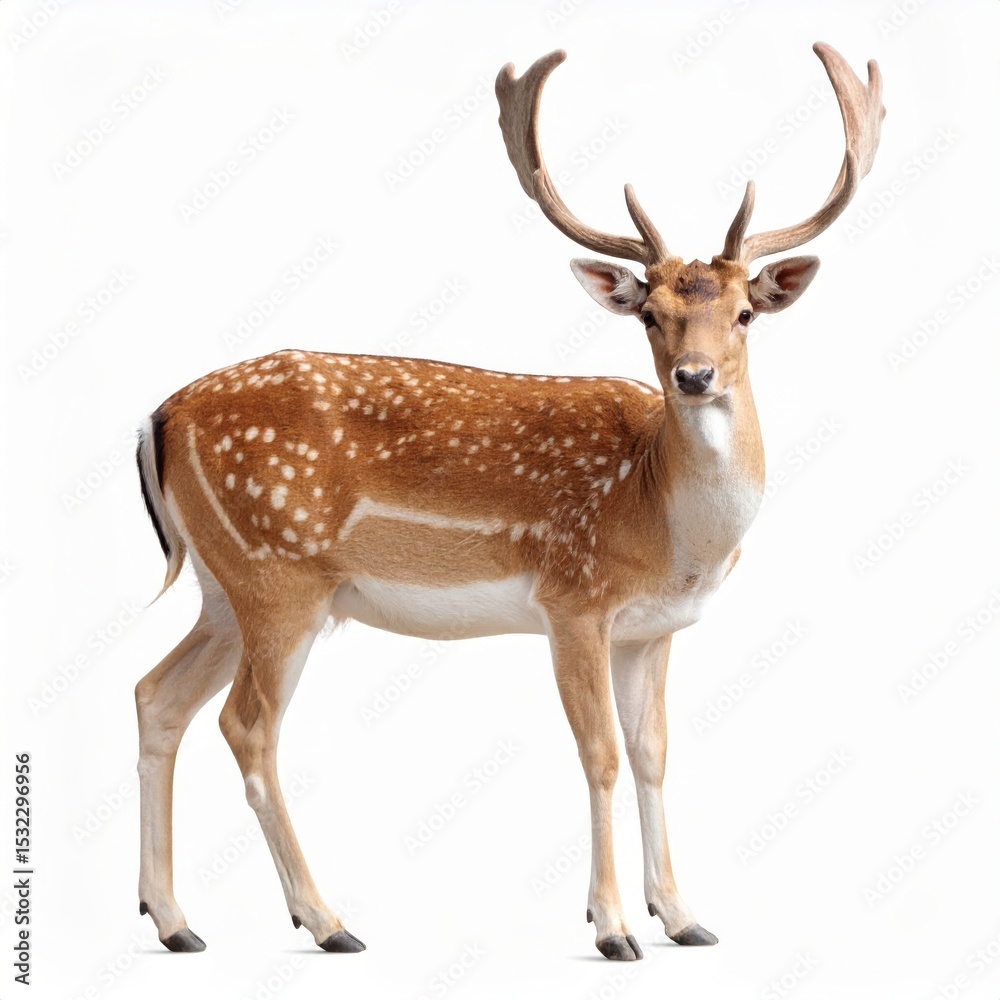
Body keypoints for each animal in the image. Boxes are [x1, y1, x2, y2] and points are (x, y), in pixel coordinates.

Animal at [133, 43, 884, 960]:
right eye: (651, 314)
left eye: (746, 313)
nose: (694, 376)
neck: (664, 522)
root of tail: (161, 415)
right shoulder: (573, 599)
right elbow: (599, 753)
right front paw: (612, 928)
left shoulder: (652, 628)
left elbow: (653, 753)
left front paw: (684, 917)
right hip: (280, 575)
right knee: (246, 724)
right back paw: (327, 921)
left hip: (222, 583)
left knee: (156, 696)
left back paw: (175, 922)